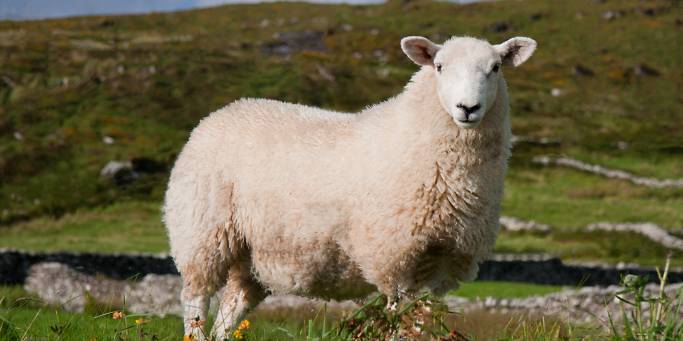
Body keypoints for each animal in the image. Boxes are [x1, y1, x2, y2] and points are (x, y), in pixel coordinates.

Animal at [163, 34, 536, 338]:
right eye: (440, 66)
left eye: (496, 67)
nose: (467, 108)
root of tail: (219, 114)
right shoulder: (394, 258)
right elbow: (398, 322)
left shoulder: (443, 262)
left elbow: (420, 322)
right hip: (203, 231)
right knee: (195, 300)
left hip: (252, 254)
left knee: (232, 307)